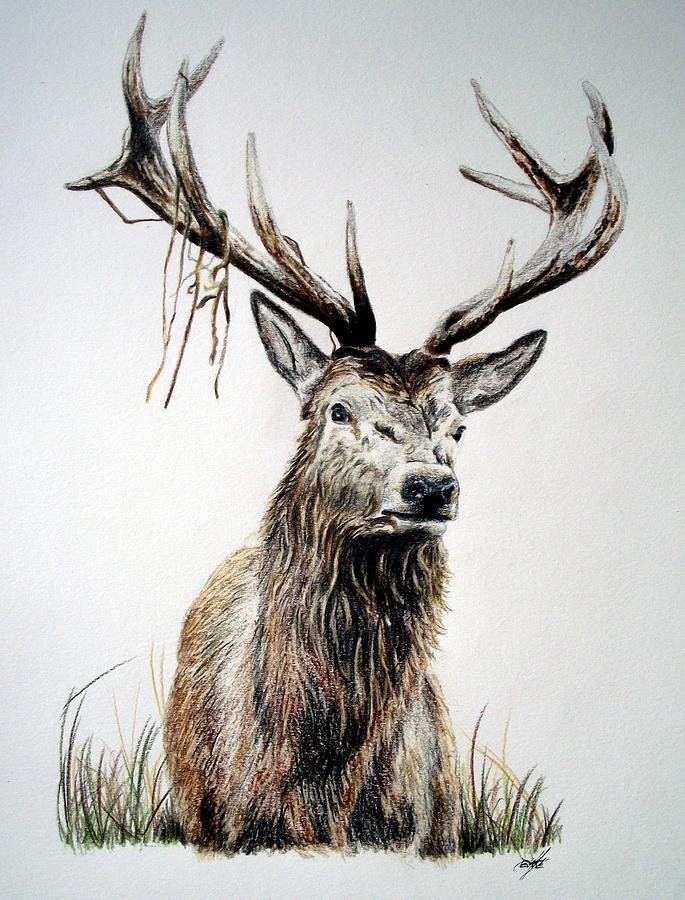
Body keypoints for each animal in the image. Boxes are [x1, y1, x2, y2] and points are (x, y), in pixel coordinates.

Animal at [66, 15, 626, 857]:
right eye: (335, 409)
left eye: (458, 425)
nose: (431, 487)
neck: (316, 797)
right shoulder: (216, 831)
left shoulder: (433, 832)